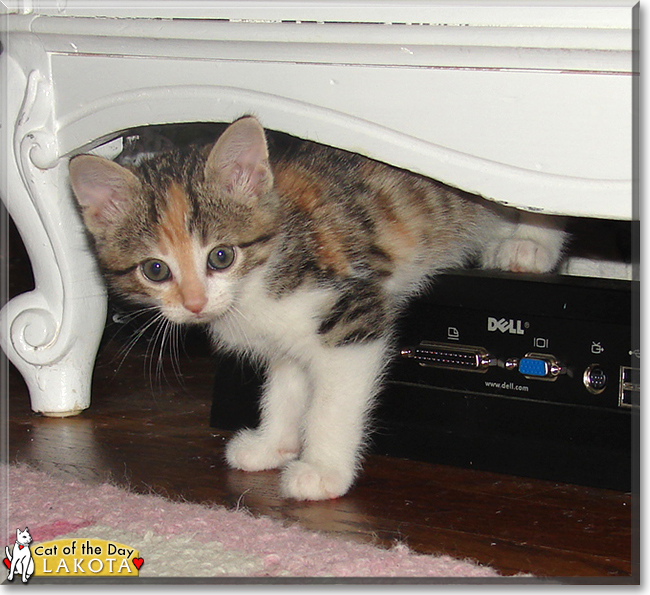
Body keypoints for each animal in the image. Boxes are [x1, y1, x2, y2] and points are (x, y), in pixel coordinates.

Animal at [71, 115, 564, 498]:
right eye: (155, 269)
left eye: (221, 256)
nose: (194, 303)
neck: (260, 277)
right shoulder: (286, 336)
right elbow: (286, 385)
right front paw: (273, 444)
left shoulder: (352, 316)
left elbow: (331, 403)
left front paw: (323, 471)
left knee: (539, 205)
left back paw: (529, 244)